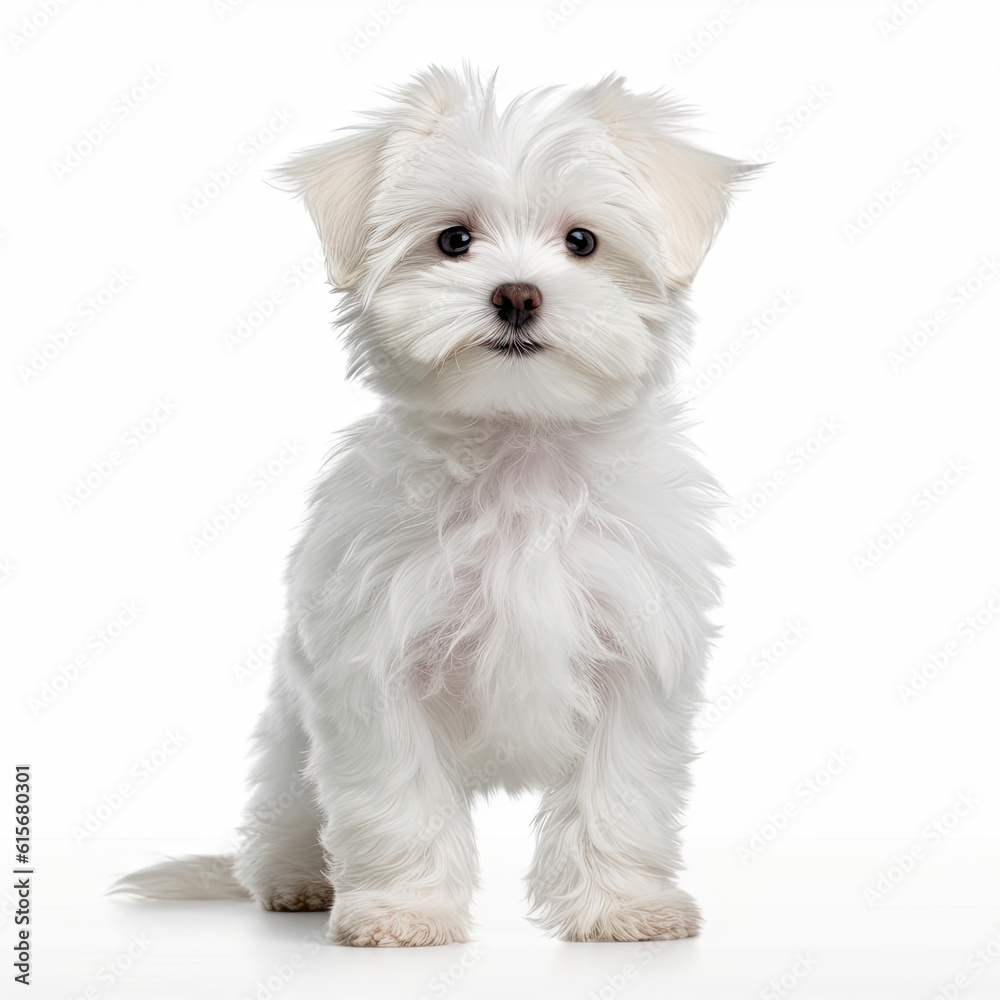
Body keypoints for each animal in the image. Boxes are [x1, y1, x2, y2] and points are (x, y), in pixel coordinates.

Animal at [111, 64, 752, 944]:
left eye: (582, 242)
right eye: (453, 240)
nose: (516, 296)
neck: (518, 448)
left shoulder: (637, 652)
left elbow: (616, 795)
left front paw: (621, 907)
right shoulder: (378, 659)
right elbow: (398, 799)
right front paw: (402, 911)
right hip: (287, 751)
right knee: (283, 819)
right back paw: (296, 881)